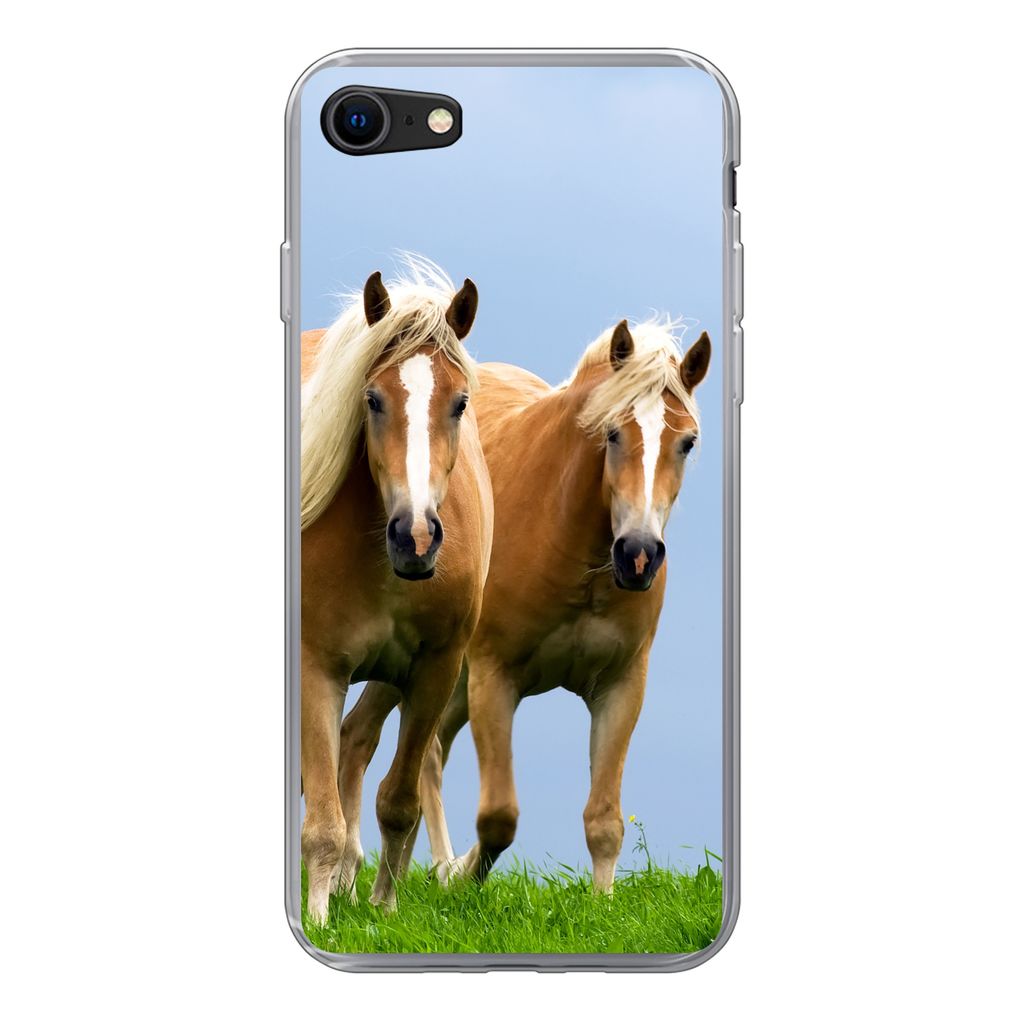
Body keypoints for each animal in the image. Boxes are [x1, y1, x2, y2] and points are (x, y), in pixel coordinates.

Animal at [299, 258, 492, 922]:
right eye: (373, 399)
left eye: (460, 402)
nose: (416, 536)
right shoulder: (316, 670)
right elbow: (321, 824)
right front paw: (317, 921)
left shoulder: (435, 670)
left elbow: (399, 803)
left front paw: (382, 913)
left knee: (357, 748)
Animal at [339, 317, 710, 893]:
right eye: (612, 433)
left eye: (687, 442)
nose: (639, 555)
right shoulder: (495, 678)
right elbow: (498, 817)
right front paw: (461, 874)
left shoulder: (622, 685)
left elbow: (604, 821)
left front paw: (602, 904)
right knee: (388, 747)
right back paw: (388, 874)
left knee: (401, 747)